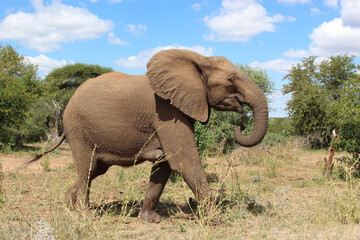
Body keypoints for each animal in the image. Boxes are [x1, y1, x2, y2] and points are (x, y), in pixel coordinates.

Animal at [26, 49, 268, 223]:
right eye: (232, 79)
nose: (241, 124)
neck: (199, 58)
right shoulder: (168, 112)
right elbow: (184, 161)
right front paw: (215, 218)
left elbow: (164, 165)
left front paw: (150, 219)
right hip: (78, 129)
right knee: (87, 168)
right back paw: (86, 216)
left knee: (93, 170)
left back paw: (68, 205)